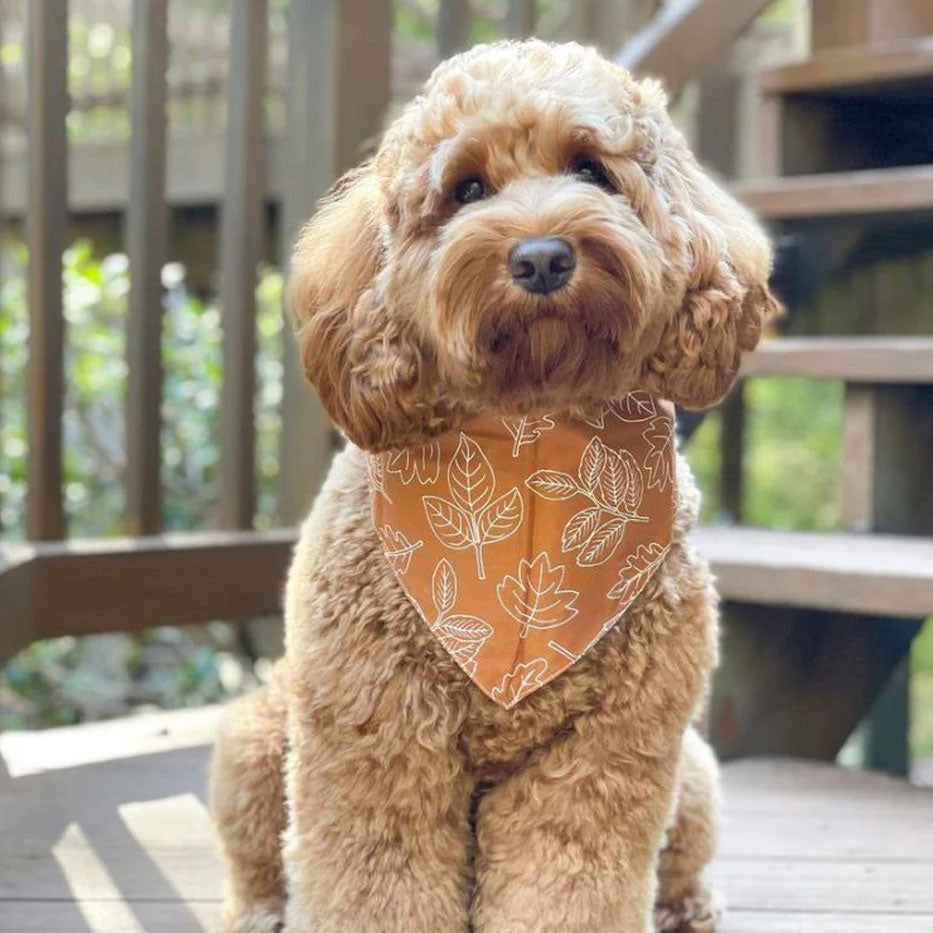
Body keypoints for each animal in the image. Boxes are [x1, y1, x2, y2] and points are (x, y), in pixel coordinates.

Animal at [211, 38, 780, 932]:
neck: (529, 448)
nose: (542, 256)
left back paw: (687, 908)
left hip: (688, 771)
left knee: (681, 855)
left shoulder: (607, 749)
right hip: (260, 739)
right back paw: (262, 911)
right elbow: (375, 878)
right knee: (260, 860)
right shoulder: (377, 733)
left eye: (591, 170)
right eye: (467, 188)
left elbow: (567, 882)